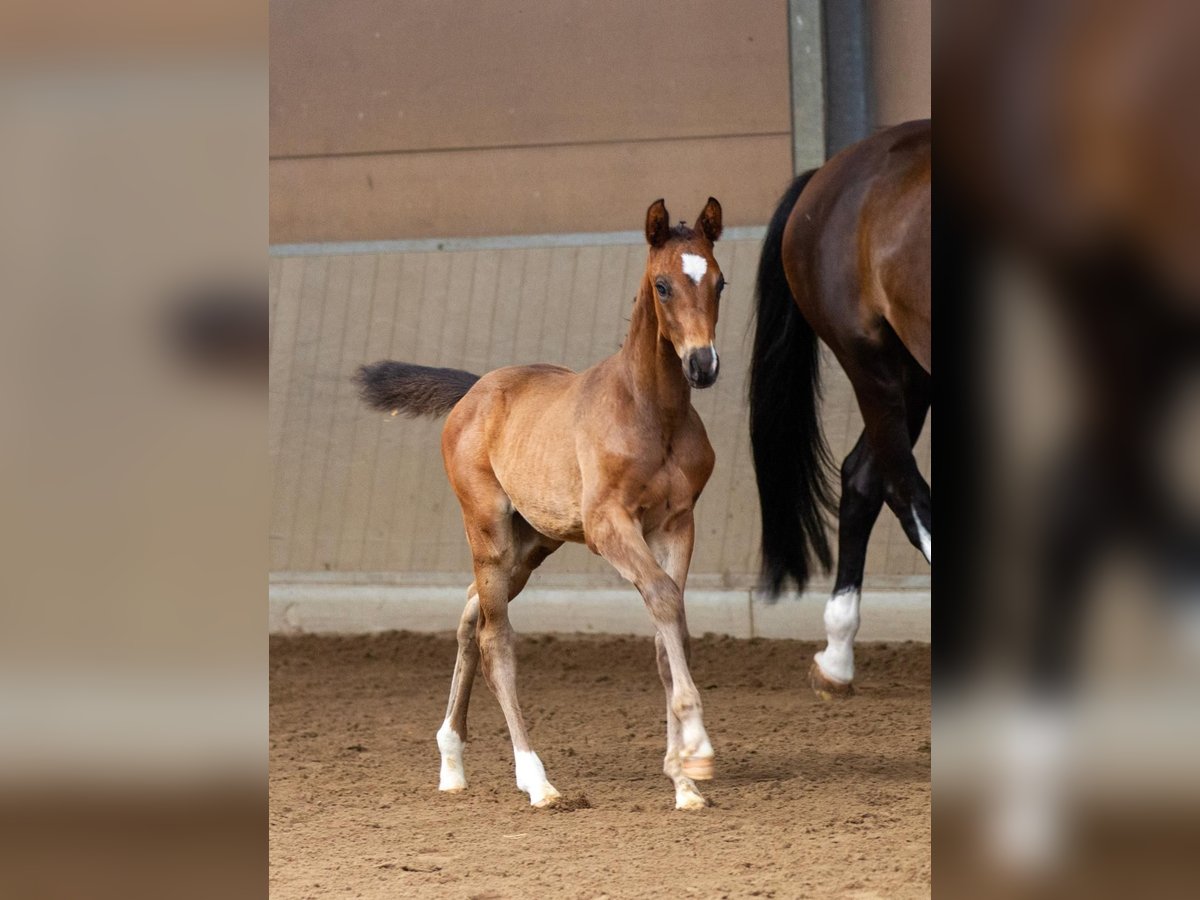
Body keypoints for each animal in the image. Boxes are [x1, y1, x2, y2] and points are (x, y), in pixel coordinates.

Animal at [356, 198, 726, 810]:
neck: (653, 412)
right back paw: (536, 779)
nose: (702, 365)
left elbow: (667, 624)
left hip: (532, 543)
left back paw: (452, 763)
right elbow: (664, 600)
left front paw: (682, 779)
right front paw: (696, 747)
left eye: (719, 281)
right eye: (663, 285)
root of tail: (474, 391)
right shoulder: (608, 525)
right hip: (487, 527)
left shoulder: (677, 523)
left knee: (470, 614)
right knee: (494, 637)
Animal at [748, 119, 931, 699]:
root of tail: (827, 174)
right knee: (901, 488)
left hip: (914, 370)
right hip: (873, 363)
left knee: (862, 478)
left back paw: (836, 658)